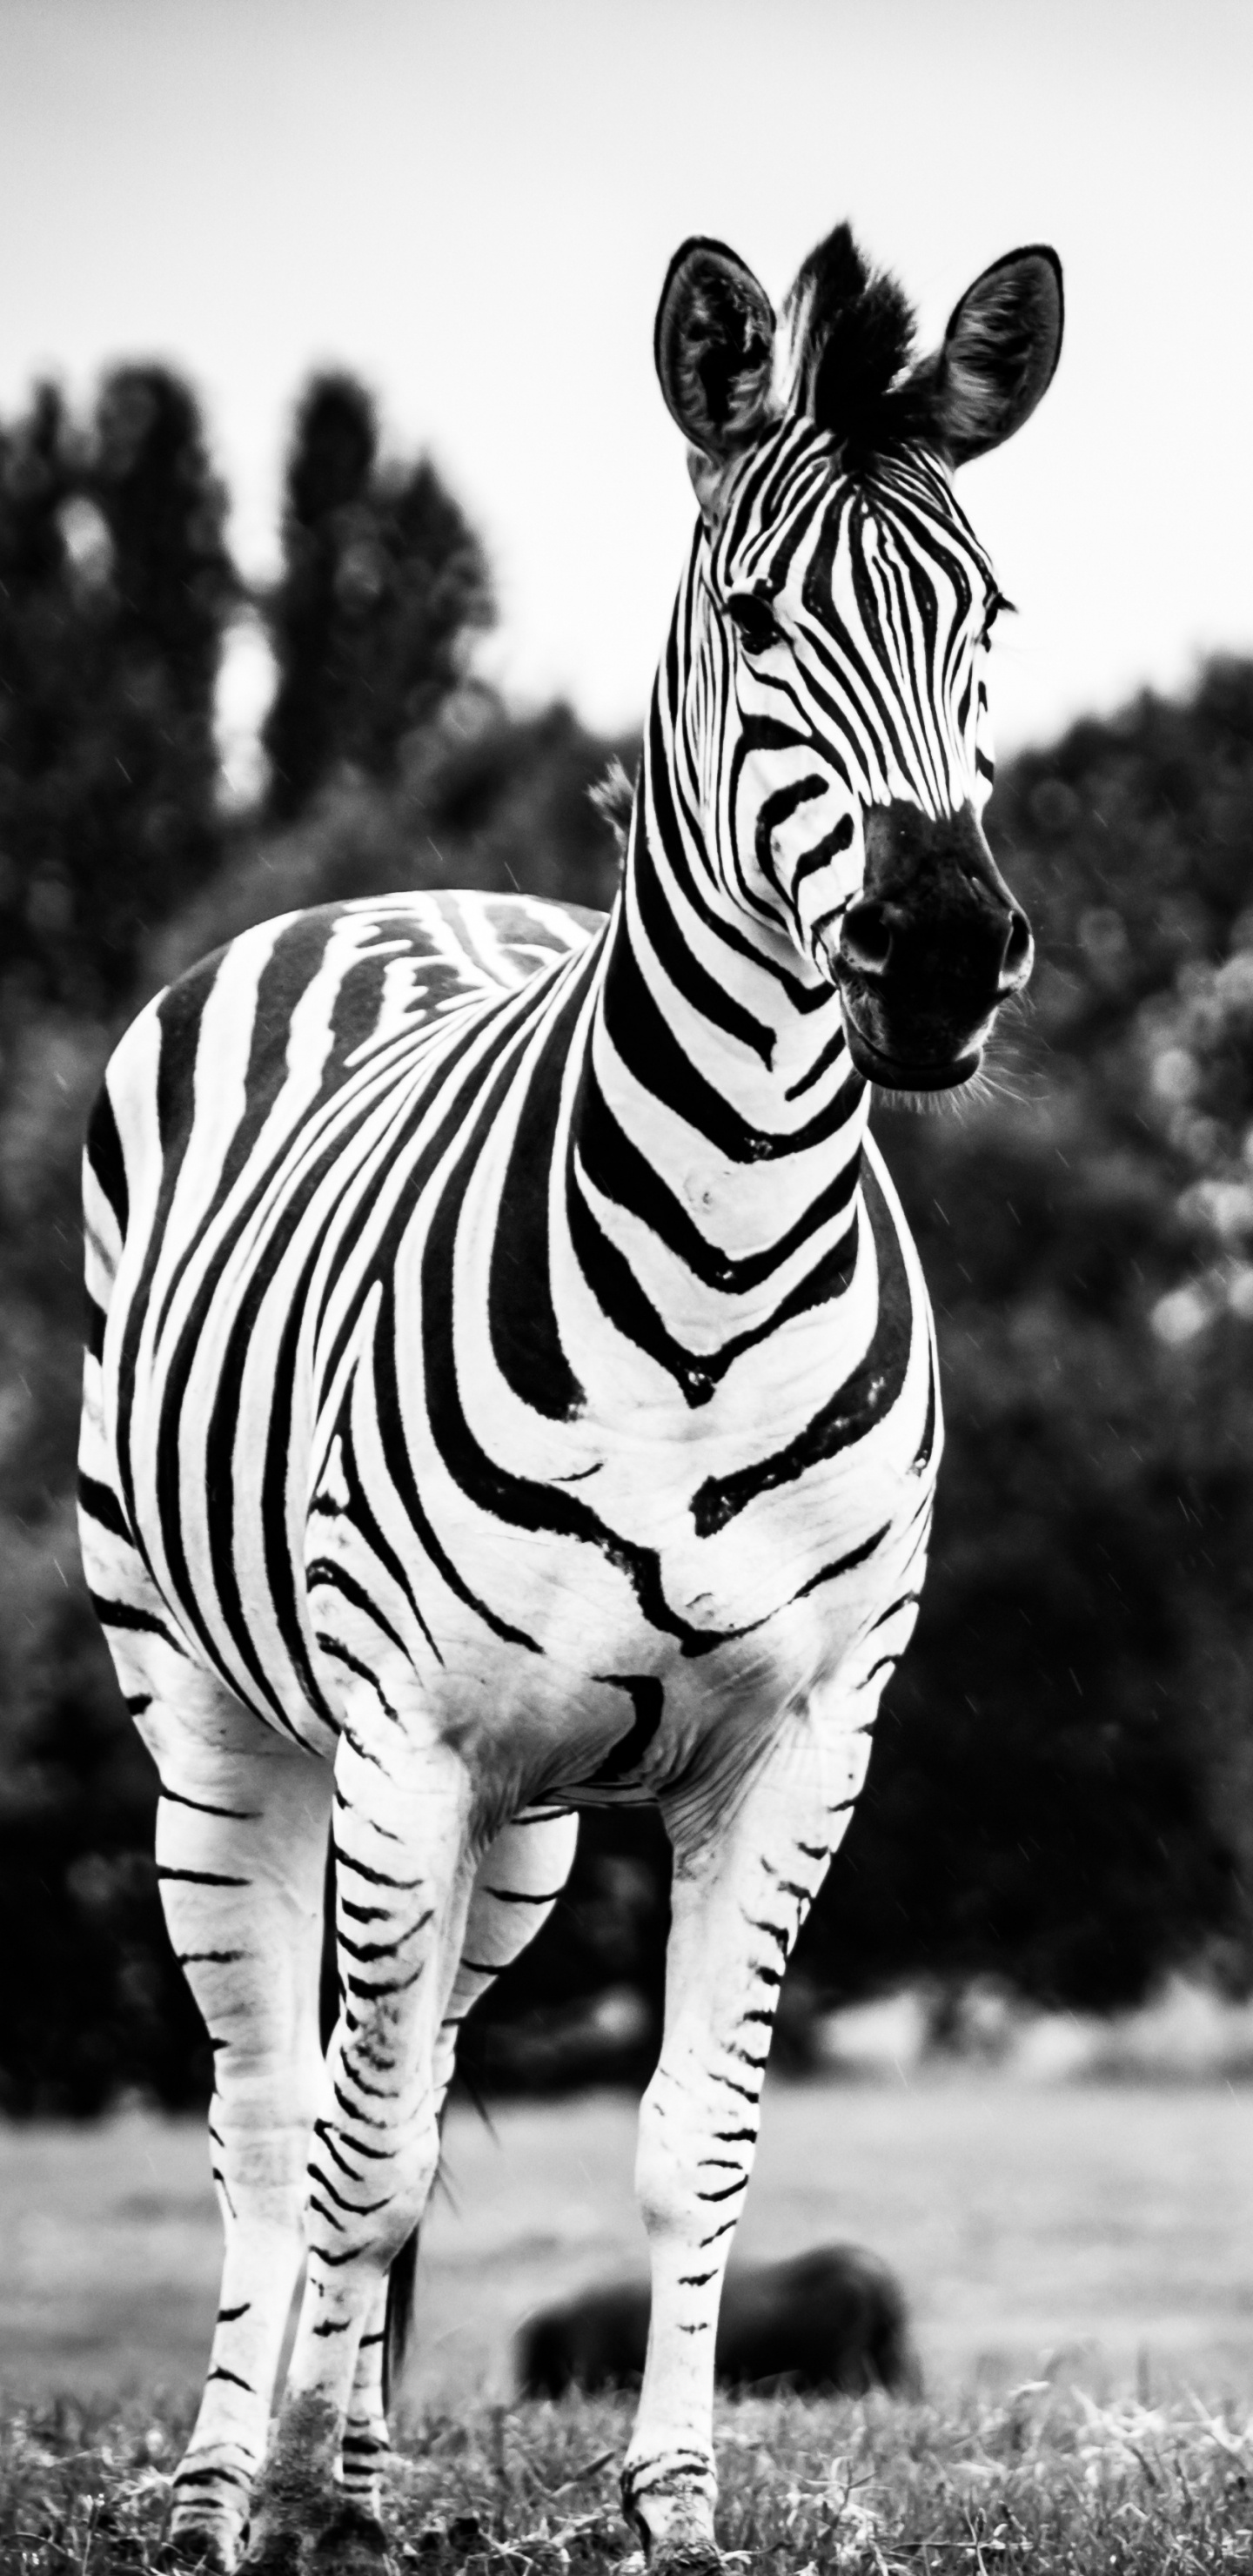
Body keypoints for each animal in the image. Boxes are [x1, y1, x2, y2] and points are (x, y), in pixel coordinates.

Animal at [79, 219, 1061, 2574]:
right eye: (756, 614)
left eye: (984, 617)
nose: (937, 951)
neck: (711, 1253)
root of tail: (405, 894)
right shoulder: (403, 1734)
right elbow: (340, 2147)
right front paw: (291, 2506)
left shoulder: (801, 1744)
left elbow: (682, 2138)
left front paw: (670, 2497)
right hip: (217, 1715)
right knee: (276, 2106)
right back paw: (226, 2477)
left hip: (515, 1824)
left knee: (414, 2080)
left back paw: (348, 2457)